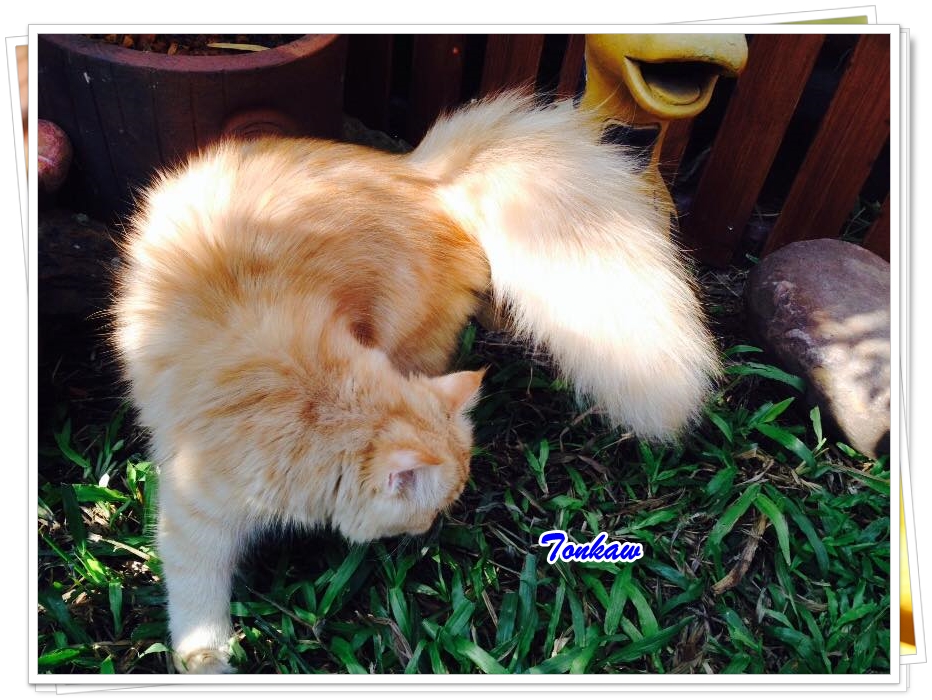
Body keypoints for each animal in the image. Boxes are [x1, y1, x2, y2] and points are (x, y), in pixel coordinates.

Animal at [112, 92, 719, 673]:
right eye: (427, 508)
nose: (429, 527)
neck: (312, 396)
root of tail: (425, 174)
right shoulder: (193, 515)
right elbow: (196, 604)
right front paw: (204, 662)